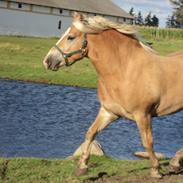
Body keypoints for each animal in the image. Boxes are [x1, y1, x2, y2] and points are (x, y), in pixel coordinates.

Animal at [42, 12, 183, 177]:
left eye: (70, 37)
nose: (47, 61)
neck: (124, 70)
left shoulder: (143, 115)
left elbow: (147, 142)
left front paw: (155, 170)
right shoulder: (109, 112)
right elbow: (90, 133)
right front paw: (82, 167)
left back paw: (175, 162)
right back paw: (175, 162)